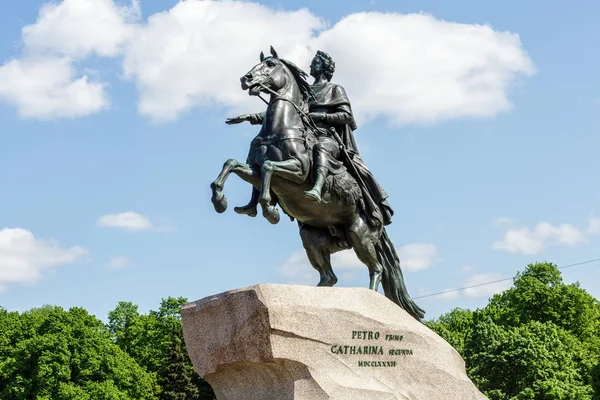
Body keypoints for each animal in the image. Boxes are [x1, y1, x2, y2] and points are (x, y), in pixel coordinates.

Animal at [209, 47, 424, 322]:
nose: (245, 79)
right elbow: (232, 164)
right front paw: (222, 201)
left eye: (270, 64)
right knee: (329, 277)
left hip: (359, 236)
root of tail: (379, 221)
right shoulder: (253, 171)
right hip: (312, 241)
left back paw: (372, 301)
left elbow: (269, 168)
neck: (279, 128)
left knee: (376, 269)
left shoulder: (297, 171)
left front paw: (270, 209)